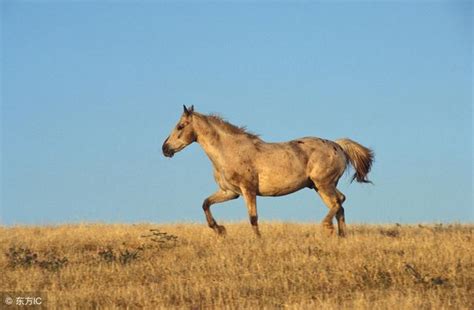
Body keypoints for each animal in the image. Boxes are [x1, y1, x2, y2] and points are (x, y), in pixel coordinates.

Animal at [163, 105, 374, 236]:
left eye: (180, 126)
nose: (165, 149)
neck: (230, 150)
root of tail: (338, 146)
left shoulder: (248, 190)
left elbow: (253, 218)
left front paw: (258, 241)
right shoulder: (230, 192)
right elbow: (206, 203)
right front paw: (220, 230)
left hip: (323, 184)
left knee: (339, 201)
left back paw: (327, 227)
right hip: (320, 186)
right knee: (340, 204)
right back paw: (341, 236)